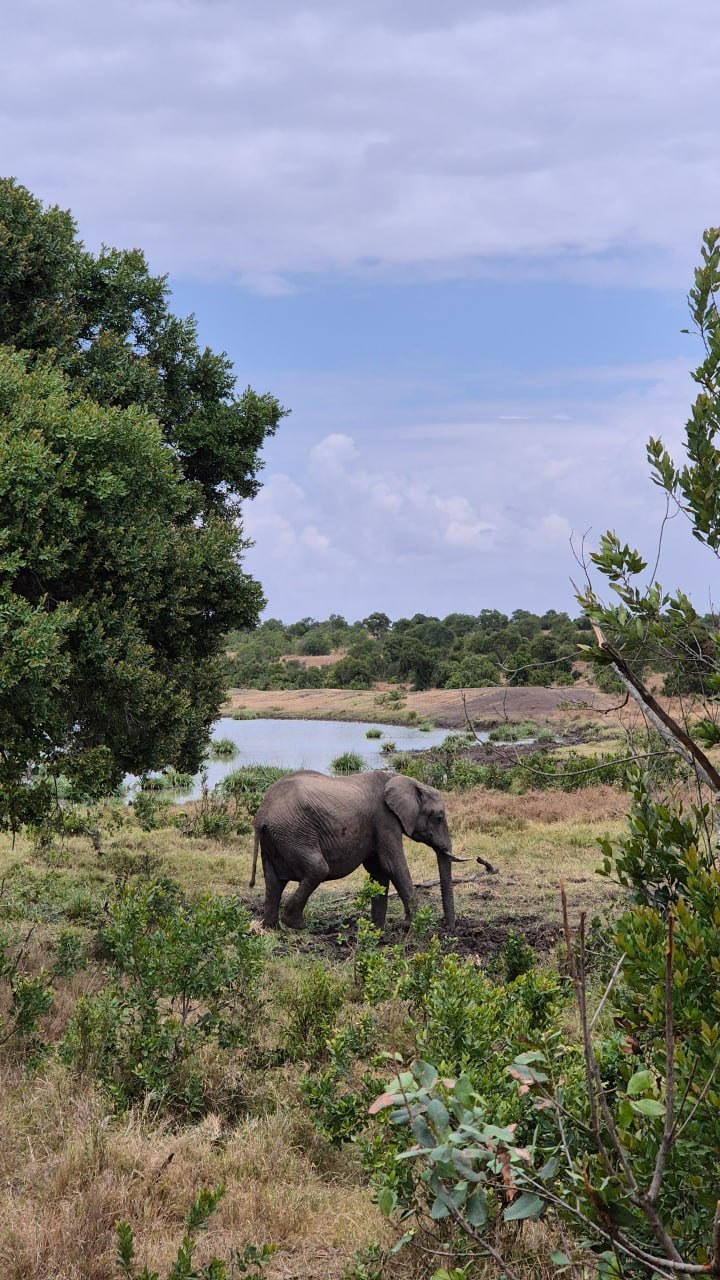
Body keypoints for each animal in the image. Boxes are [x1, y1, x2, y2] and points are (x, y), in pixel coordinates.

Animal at [249, 768, 463, 931]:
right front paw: (415, 926)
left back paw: (272, 928)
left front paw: (377, 929)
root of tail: (261, 815)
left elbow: (379, 871)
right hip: (294, 833)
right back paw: (297, 925)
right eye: (439, 817)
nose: (450, 929)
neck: (407, 780)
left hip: (275, 839)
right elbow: (392, 865)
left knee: (274, 882)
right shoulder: (384, 819)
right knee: (318, 869)